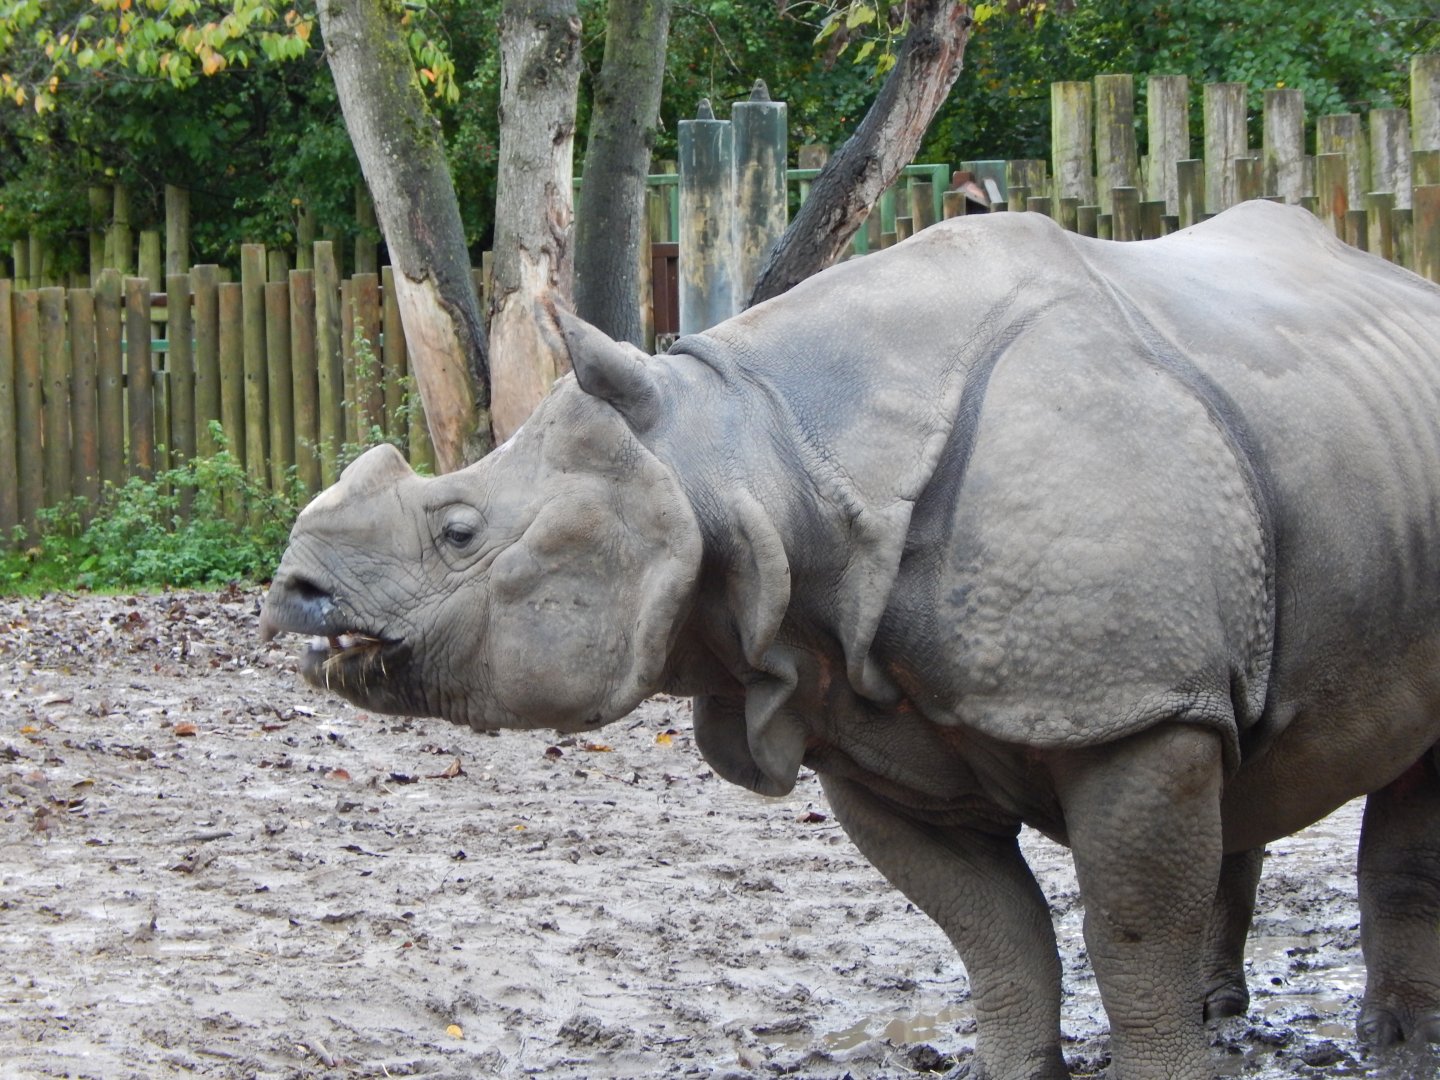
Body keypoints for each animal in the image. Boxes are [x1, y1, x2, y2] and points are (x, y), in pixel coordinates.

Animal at [261, 200, 1440, 1079]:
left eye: (459, 532)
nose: (292, 592)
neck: (746, 453)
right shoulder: (867, 728)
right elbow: (997, 936)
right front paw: (1016, 1070)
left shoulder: (1135, 710)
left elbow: (1126, 934)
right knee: (1247, 754)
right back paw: (1234, 1011)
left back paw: (1389, 1045)